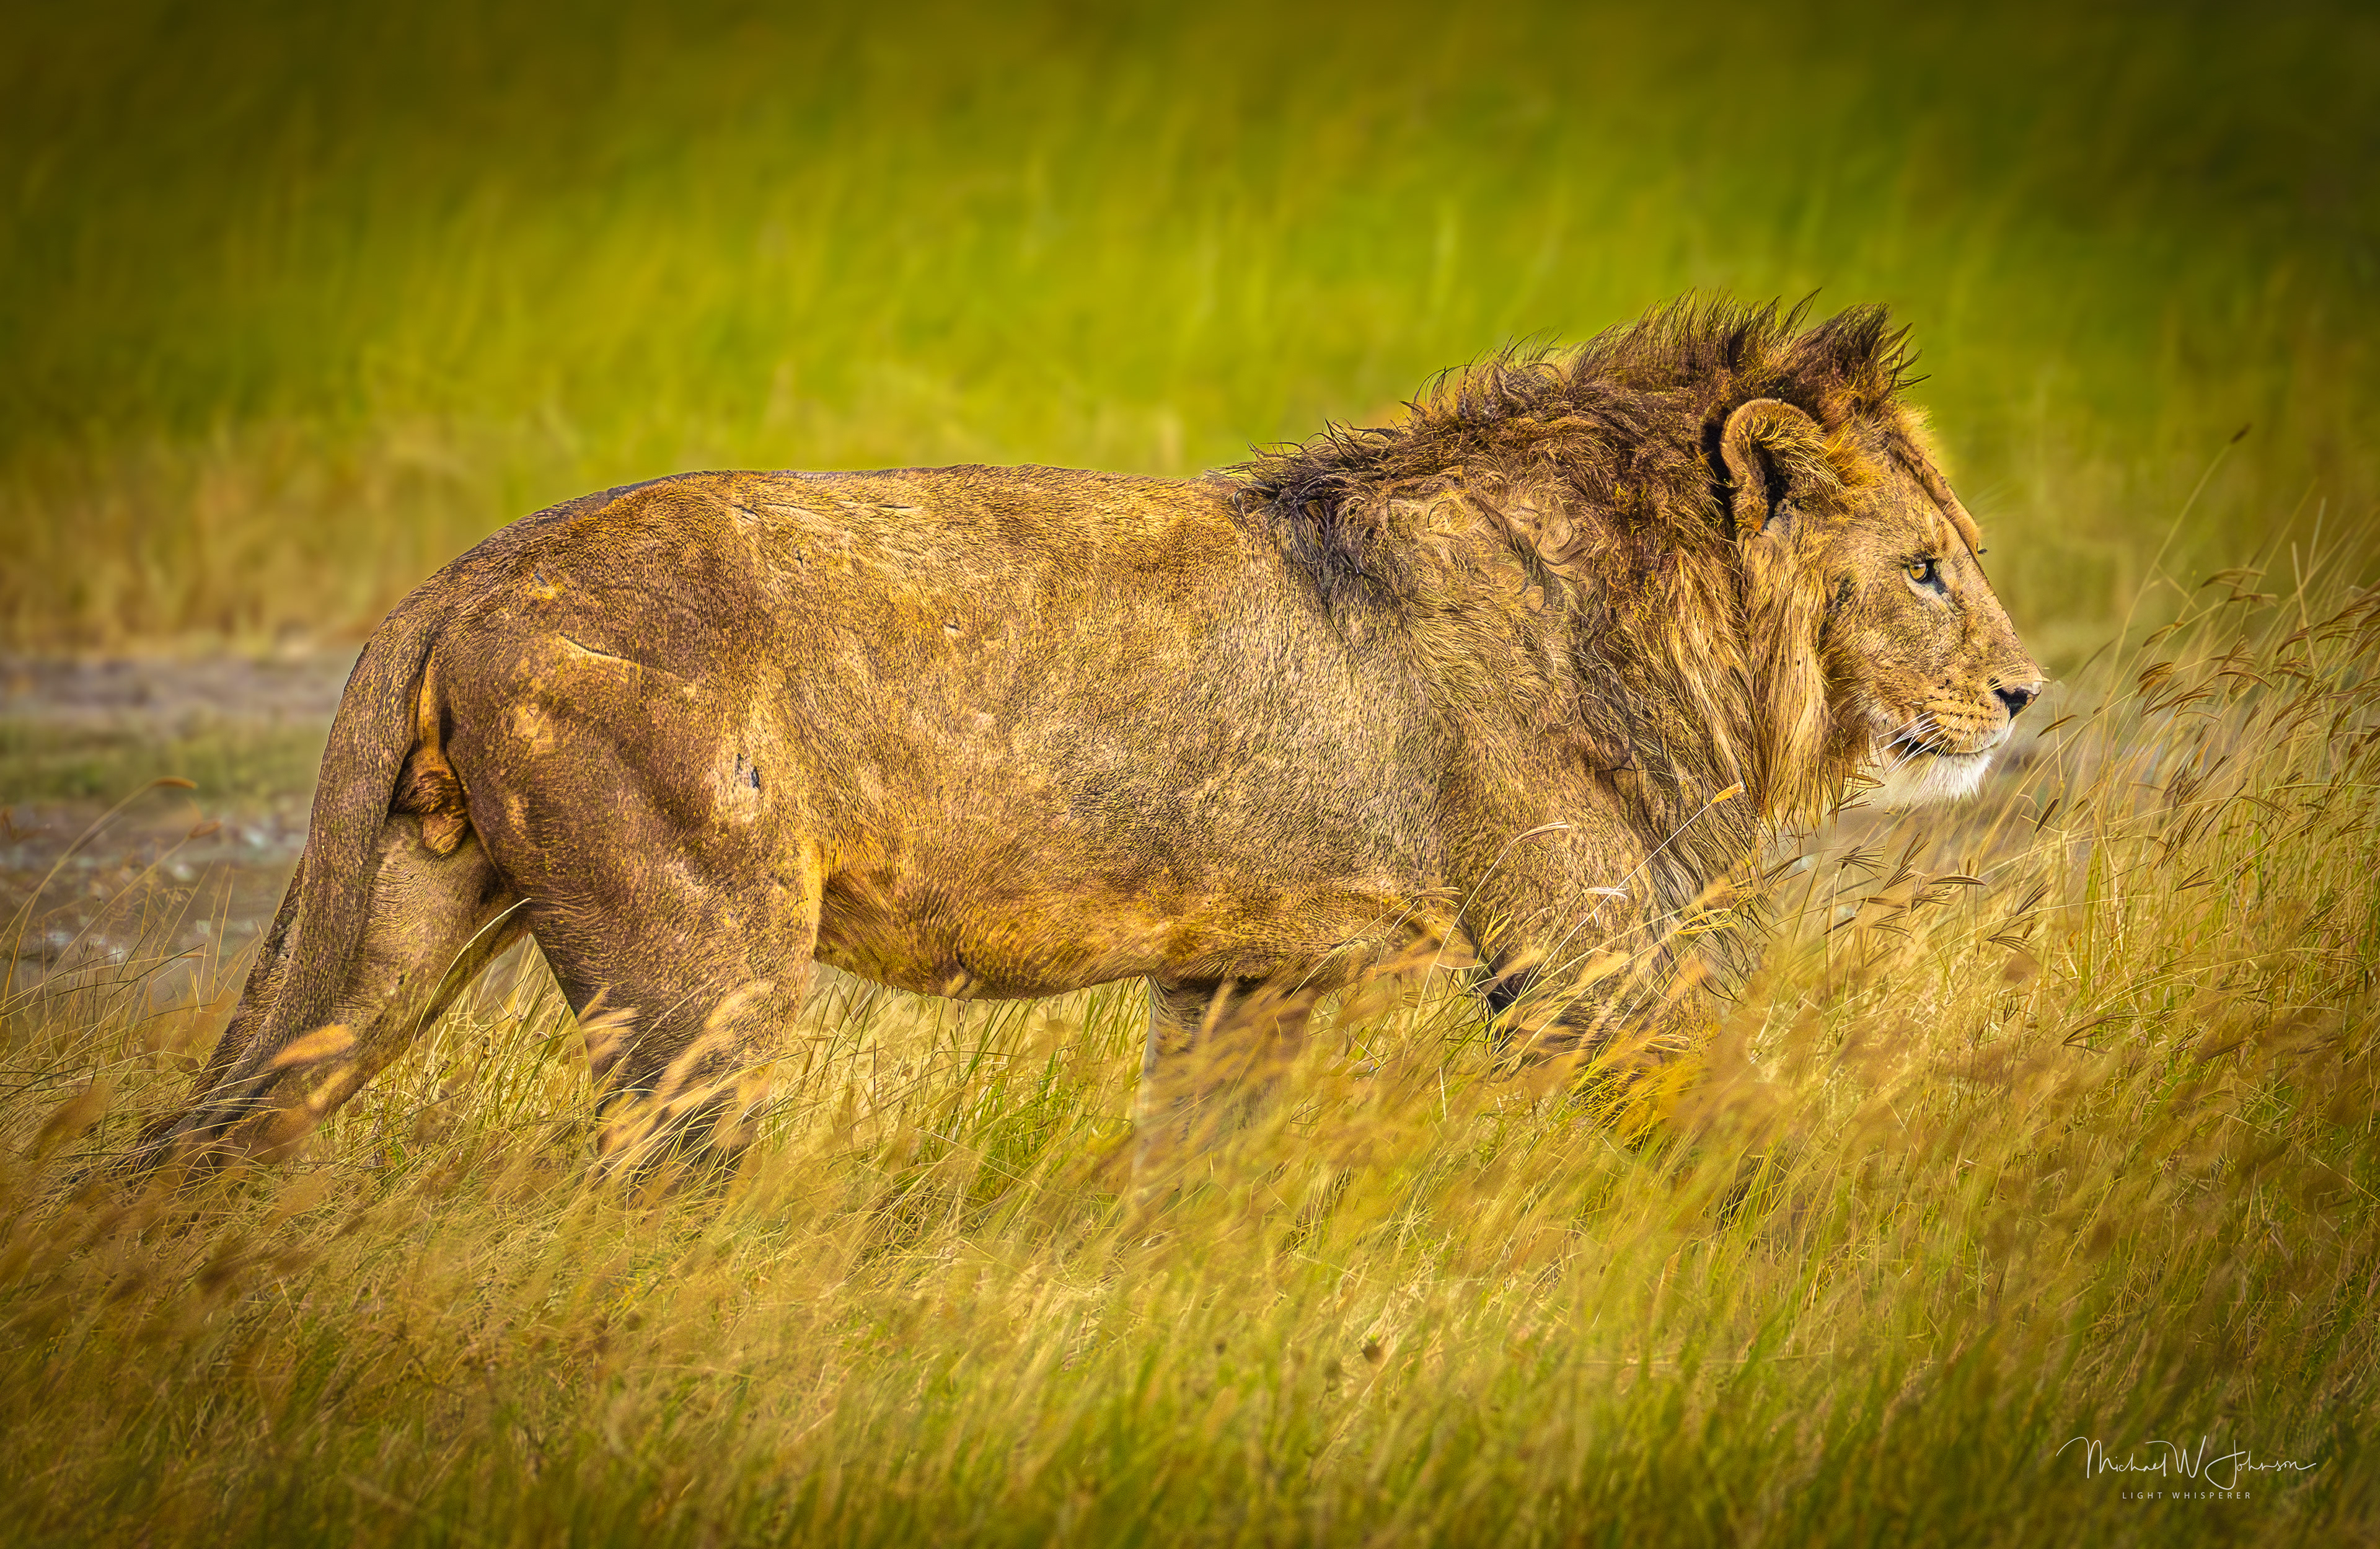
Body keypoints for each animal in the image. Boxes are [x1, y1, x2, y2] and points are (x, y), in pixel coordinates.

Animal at [129, 296, 2040, 1175]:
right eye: (1926, 569)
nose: (2029, 697)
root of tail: (460, 574)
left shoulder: (1244, 975)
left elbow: (1196, 1181)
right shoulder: (1583, 957)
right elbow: (1739, 1125)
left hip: (383, 935)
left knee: (213, 1141)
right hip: (700, 957)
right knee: (663, 1179)